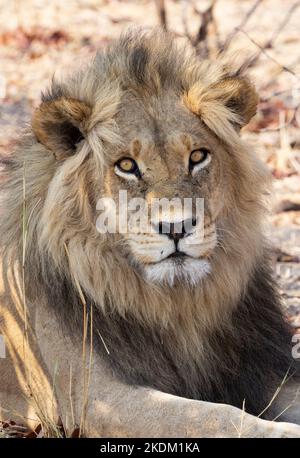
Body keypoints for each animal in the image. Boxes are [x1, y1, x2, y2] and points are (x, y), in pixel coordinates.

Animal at [0, 30, 300, 438]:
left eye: (197, 156)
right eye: (127, 165)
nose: (176, 227)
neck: (175, 306)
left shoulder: (263, 371)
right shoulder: (96, 399)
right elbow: (213, 416)